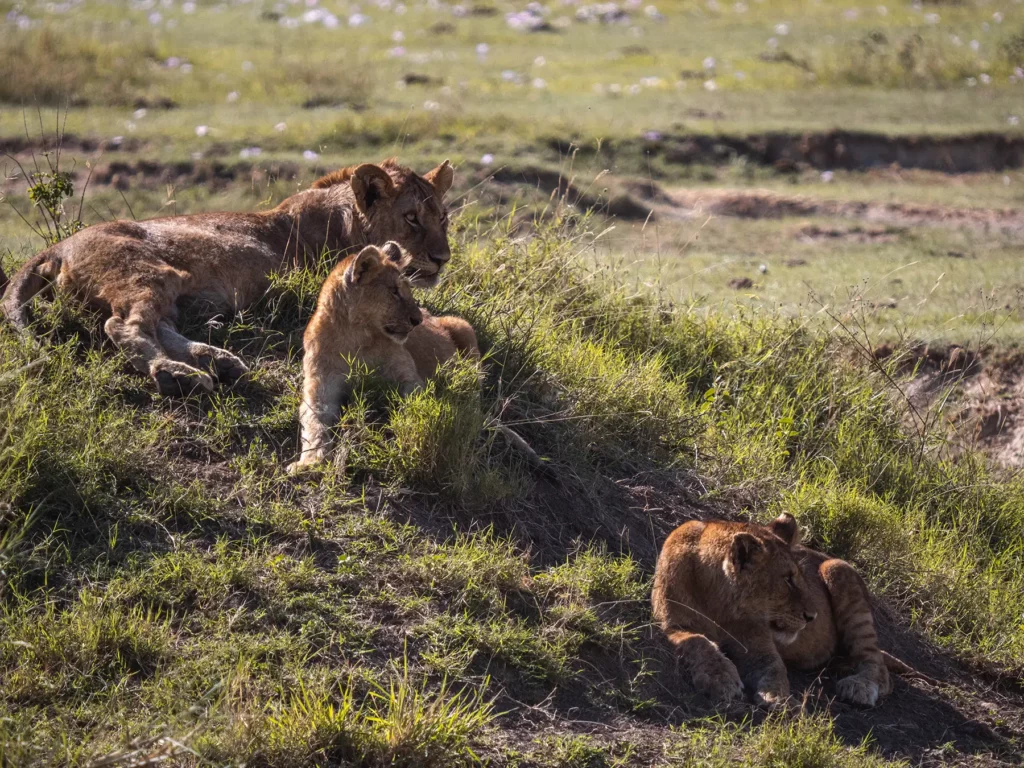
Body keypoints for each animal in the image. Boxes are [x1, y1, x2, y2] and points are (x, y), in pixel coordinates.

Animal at [1, 158, 454, 396]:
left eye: (443, 218)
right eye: (411, 218)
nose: (443, 258)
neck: (344, 219)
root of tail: (59, 247)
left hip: (165, 287)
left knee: (157, 325)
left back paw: (218, 360)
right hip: (146, 272)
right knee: (123, 325)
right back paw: (177, 374)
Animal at [288, 242, 479, 473]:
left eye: (408, 290)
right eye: (394, 291)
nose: (418, 320)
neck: (356, 338)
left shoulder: (407, 377)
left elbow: (411, 406)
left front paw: (401, 434)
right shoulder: (321, 389)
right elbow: (314, 425)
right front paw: (309, 463)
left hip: (461, 325)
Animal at [652, 513, 926, 708]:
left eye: (801, 577)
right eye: (788, 580)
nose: (812, 616)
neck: (721, 606)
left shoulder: (758, 642)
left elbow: (774, 667)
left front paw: (781, 700)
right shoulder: (673, 625)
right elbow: (698, 642)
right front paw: (721, 678)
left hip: (837, 569)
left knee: (878, 666)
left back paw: (860, 685)